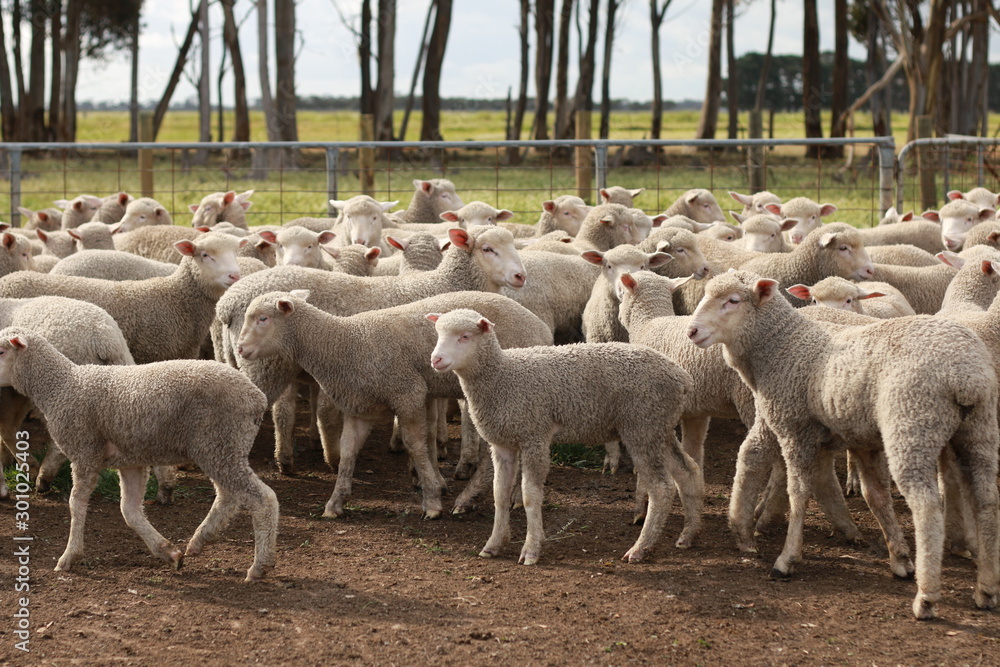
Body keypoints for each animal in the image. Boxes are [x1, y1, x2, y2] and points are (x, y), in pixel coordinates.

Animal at [0, 232, 246, 364]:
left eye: (236, 254)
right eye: (205, 255)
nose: (235, 275)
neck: (177, 299)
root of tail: (9, 278)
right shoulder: (157, 352)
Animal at [0, 328, 278, 581]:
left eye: (1, 351)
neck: (61, 387)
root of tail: (257, 398)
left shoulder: (84, 452)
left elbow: (76, 504)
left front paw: (69, 557)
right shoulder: (130, 461)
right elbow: (130, 511)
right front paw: (168, 552)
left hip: (220, 443)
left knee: (262, 499)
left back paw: (259, 565)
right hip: (221, 448)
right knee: (227, 496)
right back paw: (199, 541)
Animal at [215, 226, 526, 473]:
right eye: (488, 249)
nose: (520, 276)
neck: (442, 283)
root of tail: (227, 303)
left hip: (270, 362)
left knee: (283, 412)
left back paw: (286, 460)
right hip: (263, 364)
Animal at [237, 290, 552, 519]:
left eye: (263, 318)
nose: (240, 349)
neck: (344, 344)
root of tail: (542, 328)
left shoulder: (407, 392)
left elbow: (415, 445)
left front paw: (432, 501)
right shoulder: (360, 407)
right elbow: (348, 452)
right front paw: (335, 503)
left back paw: (472, 497)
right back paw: (505, 497)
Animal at [429, 309, 702, 565]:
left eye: (465, 337)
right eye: (438, 334)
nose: (435, 359)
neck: (501, 377)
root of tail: (682, 378)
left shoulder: (534, 436)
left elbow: (530, 496)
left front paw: (531, 549)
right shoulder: (503, 443)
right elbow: (500, 494)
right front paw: (493, 544)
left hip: (642, 425)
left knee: (662, 488)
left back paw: (641, 548)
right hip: (659, 427)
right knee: (687, 472)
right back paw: (688, 535)